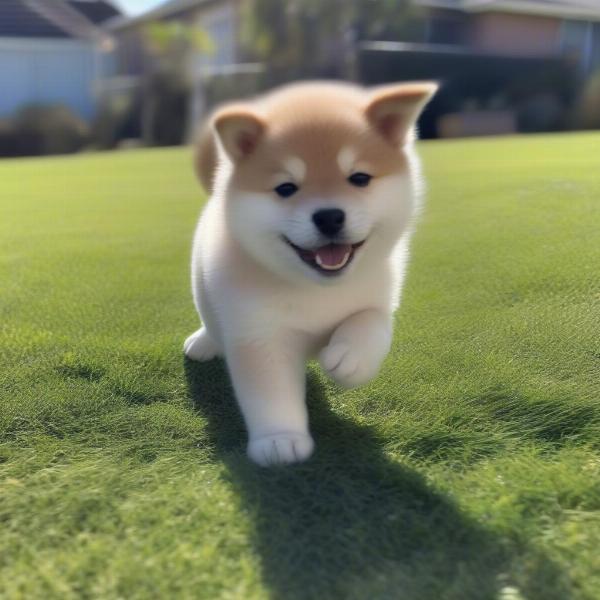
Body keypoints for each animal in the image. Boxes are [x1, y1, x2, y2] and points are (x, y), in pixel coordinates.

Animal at [183, 79, 436, 466]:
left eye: (359, 178)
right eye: (286, 188)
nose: (329, 216)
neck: (316, 289)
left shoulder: (379, 295)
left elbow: (371, 321)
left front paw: (353, 358)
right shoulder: (258, 334)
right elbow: (270, 394)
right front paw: (279, 441)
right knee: (211, 321)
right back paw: (205, 342)